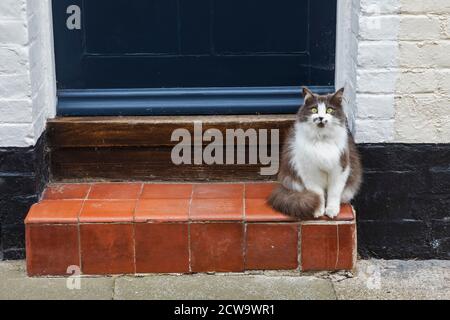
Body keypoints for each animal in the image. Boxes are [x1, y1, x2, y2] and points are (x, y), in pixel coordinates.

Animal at [268, 86, 362, 219]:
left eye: (329, 110)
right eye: (314, 109)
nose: (321, 118)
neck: (321, 140)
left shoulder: (340, 169)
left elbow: (334, 193)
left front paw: (332, 211)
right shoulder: (309, 172)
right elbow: (318, 194)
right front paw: (318, 210)